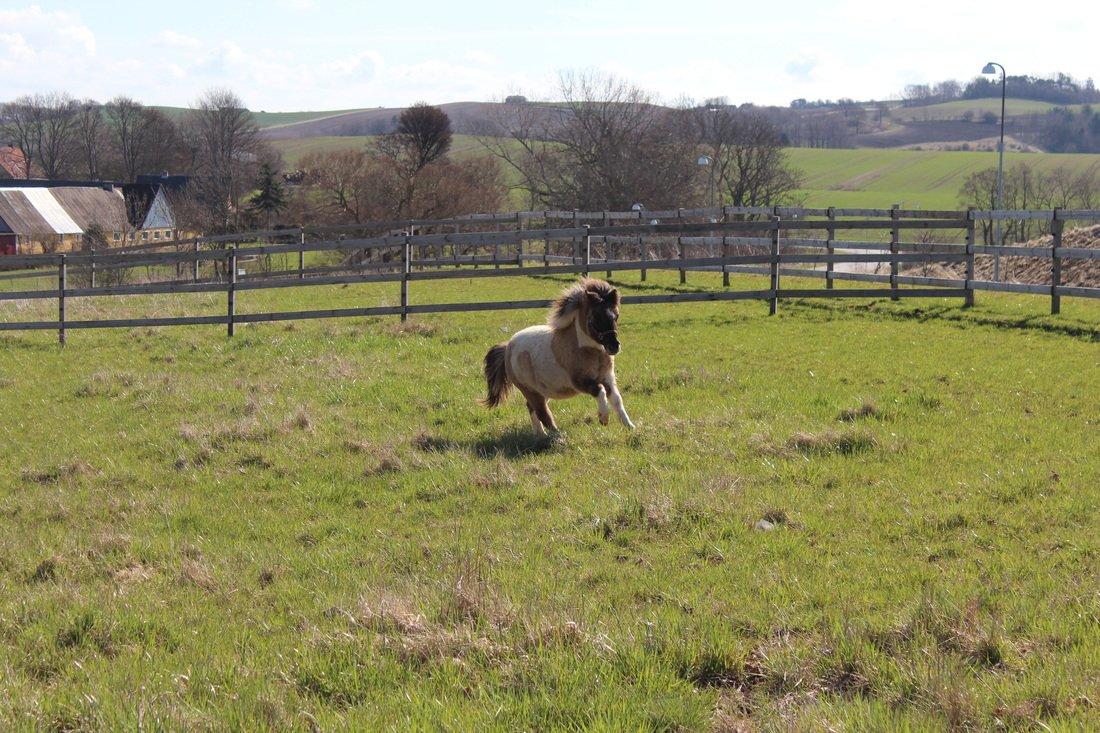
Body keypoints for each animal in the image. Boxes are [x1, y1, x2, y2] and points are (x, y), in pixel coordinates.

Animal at [481, 277, 638, 431]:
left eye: (616, 316)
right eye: (594, 317)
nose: (613, 347)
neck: (590, 352)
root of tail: (508, 347)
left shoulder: (608, 378)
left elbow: (617, 400)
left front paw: (630, 426)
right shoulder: (580, 382)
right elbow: (600, 391)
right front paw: (603, 418)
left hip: (541, 391)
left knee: (532, 408)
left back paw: (540, 434)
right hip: (529, 390)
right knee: (542, 413)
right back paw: (557, 435)